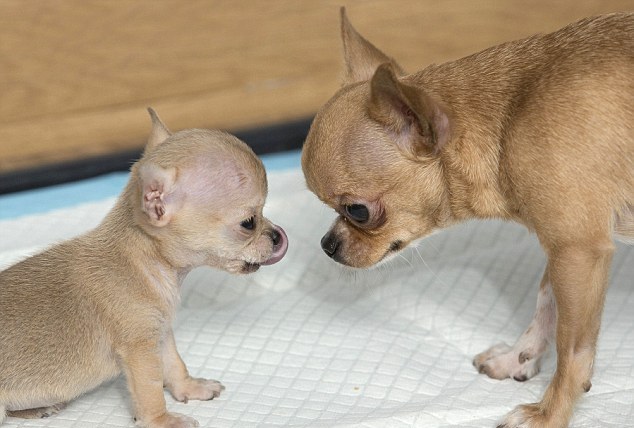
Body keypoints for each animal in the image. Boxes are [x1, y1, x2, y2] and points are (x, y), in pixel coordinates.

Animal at [0, 108, 286, 426]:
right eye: (249, 223)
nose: (278, 236)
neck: (148, 263)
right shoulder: (140, 349)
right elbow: (150, 390)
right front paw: (162, 420)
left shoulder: (160, 335)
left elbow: (174, 365)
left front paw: (189, 388)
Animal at [302, 7, 632, 428]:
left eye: (357, 211)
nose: (327, 244)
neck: (507, 122)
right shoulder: (563, 246)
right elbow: (546, 302)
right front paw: (519, 357)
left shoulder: (578, 251)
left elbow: (573, 349)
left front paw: (549, 413)